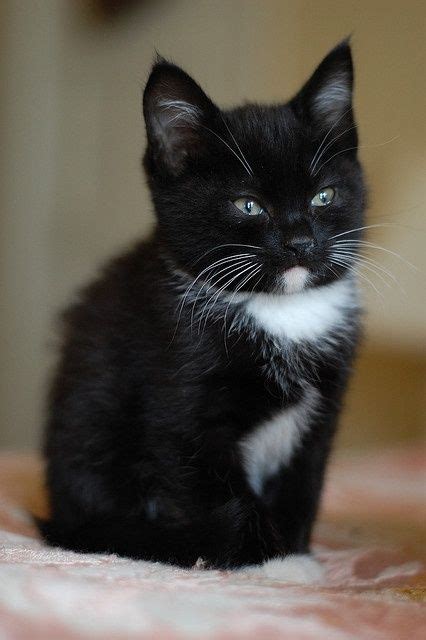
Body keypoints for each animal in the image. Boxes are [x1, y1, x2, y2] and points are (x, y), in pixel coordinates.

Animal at [38, 41, 366, 580]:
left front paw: (294, 553)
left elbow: (305, 481)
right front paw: (269, 561)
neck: (279, 310)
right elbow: (216, 486)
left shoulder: (326, 406)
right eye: (248, 205)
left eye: (324, 196)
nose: (301, 241)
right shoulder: (177, 393)